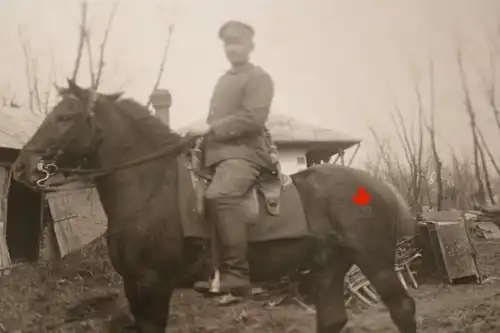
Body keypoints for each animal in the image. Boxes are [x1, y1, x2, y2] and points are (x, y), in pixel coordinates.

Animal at [11, 78, 418, 332]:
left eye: (64, 117)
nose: (21, 167)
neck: (150, 188)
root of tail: (380, 187)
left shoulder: (153, 285)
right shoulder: (133, 286)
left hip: (376, 263)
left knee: (403, 309)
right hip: (328, 267)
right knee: (333, 319)